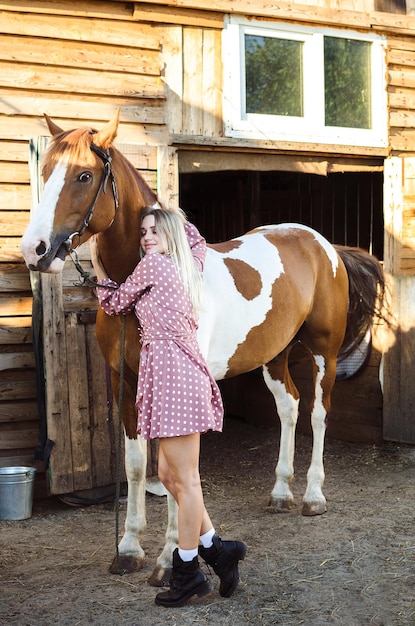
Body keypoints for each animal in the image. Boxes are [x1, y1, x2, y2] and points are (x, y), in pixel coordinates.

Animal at [21, 109, 386, 584]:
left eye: (84, 175)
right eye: (45, 171)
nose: (35, 250)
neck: (145, 288)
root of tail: (322, 244)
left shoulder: (179, 388)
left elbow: (177, 467)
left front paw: (168, 559)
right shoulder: (126, 383)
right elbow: (137, 464)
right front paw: (129, 548)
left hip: (323, 348)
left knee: (319, 413)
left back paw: (312, 496)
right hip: (273, 355)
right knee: (289, 407)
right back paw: (280, 491)